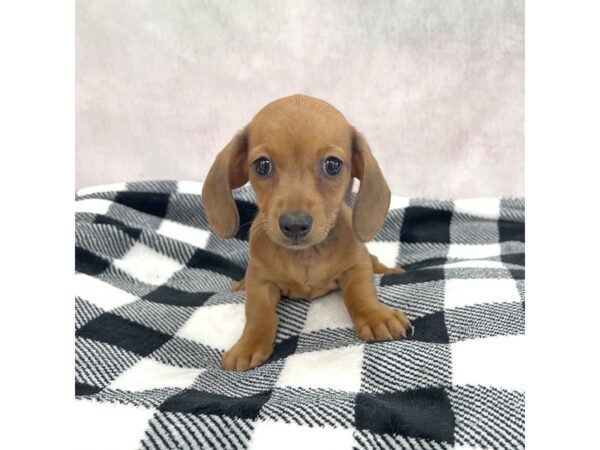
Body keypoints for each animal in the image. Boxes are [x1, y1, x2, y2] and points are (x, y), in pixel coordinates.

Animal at [204, 93, 410, 370]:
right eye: (262, 166)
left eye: (332, 165)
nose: (294, 224)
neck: (306, 256)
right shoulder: (261, 281)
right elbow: (258, 312)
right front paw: (249, 344)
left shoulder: (356, 266)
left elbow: (361, 292)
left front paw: (375, 315)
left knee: (374, 260)